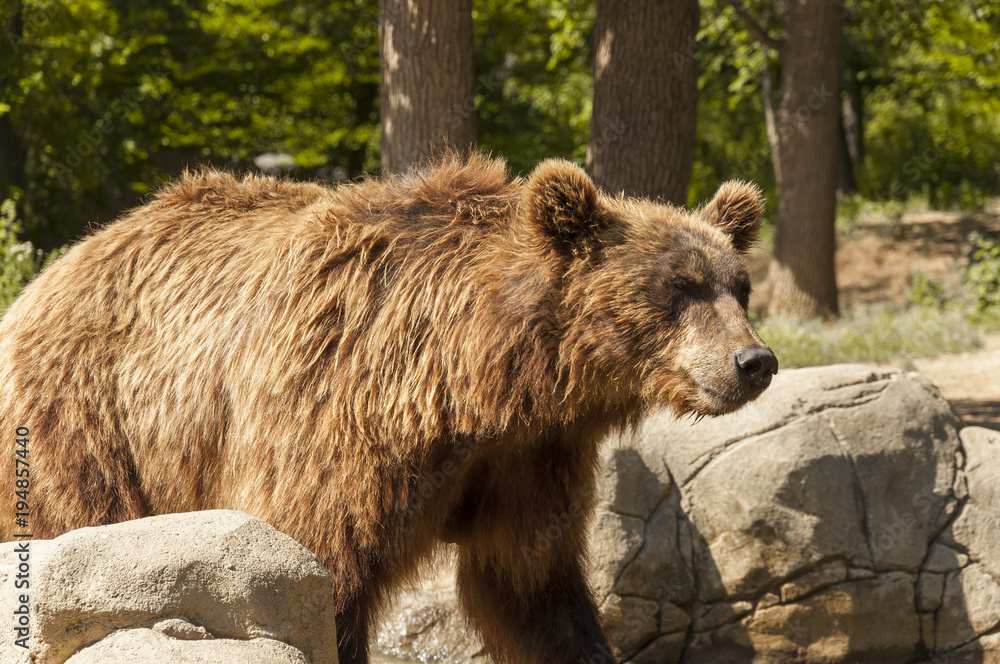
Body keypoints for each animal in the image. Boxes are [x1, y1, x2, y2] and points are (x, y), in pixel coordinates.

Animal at [0, 154, 772, 664]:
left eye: (738, 286)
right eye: (679, 286)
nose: (754, 362)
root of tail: (56, 269)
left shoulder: (528, 462)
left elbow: (533, 589)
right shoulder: (337, 413)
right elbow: (318, 575)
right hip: (90, 422)